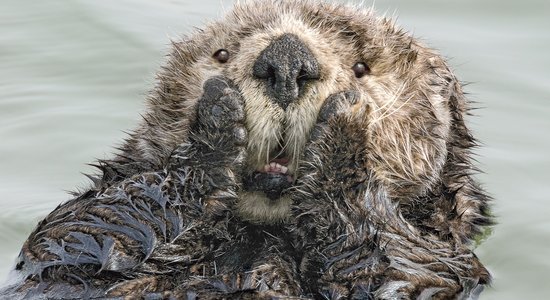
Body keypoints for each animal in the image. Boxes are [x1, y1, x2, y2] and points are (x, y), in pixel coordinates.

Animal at [1, 1, 492, 298]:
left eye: (361, 67)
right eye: (221, 54)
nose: (287, 60)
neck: (263, 236)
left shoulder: (444, 264)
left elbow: (395, 269)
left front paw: (345, 126)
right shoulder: (65, 250)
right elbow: (82, 230)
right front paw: (217, 117)